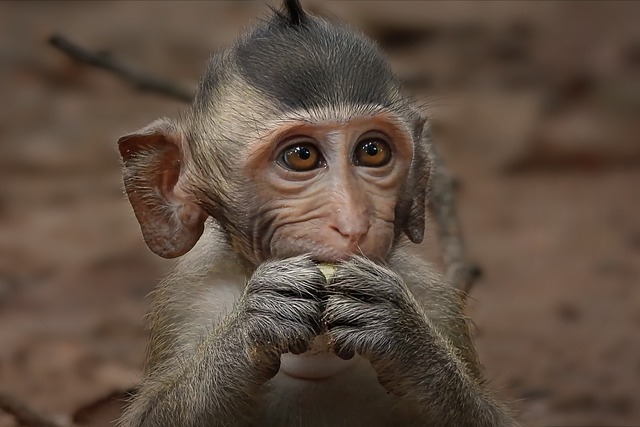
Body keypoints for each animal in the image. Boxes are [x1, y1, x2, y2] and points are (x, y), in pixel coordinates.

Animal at [116, 1, 517, 426]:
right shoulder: (188, 299)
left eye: (372, 151)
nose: (353, 223)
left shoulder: (437, 301)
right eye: (302, 155)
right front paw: (254, 325)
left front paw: (403, 332)